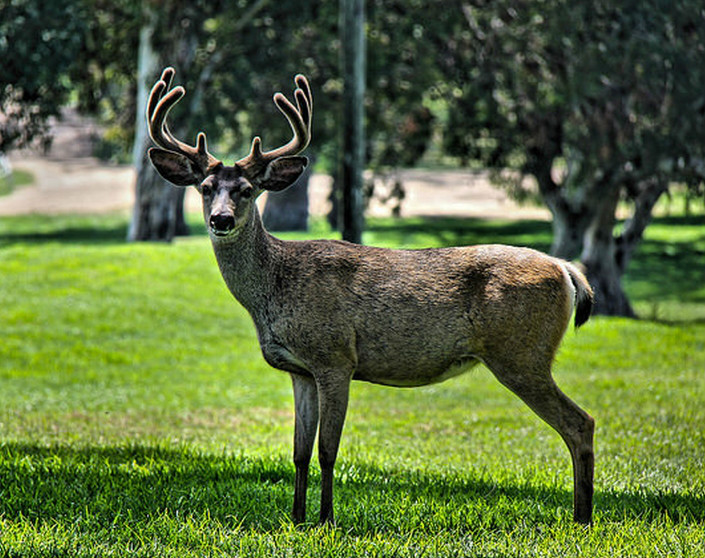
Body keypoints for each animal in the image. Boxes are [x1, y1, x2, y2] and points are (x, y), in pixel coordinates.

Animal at [147, 68, 592, 528]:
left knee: (581, 423)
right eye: (205, 187)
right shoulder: (299, 370)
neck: (275, 289)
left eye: (248, 190)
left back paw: (582, 517)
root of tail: (566, 270)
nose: (220, 219)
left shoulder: (336, 357)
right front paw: (296, 517)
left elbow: (327, 450)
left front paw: (325, 520)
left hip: (522, 354)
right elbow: (299, 452)